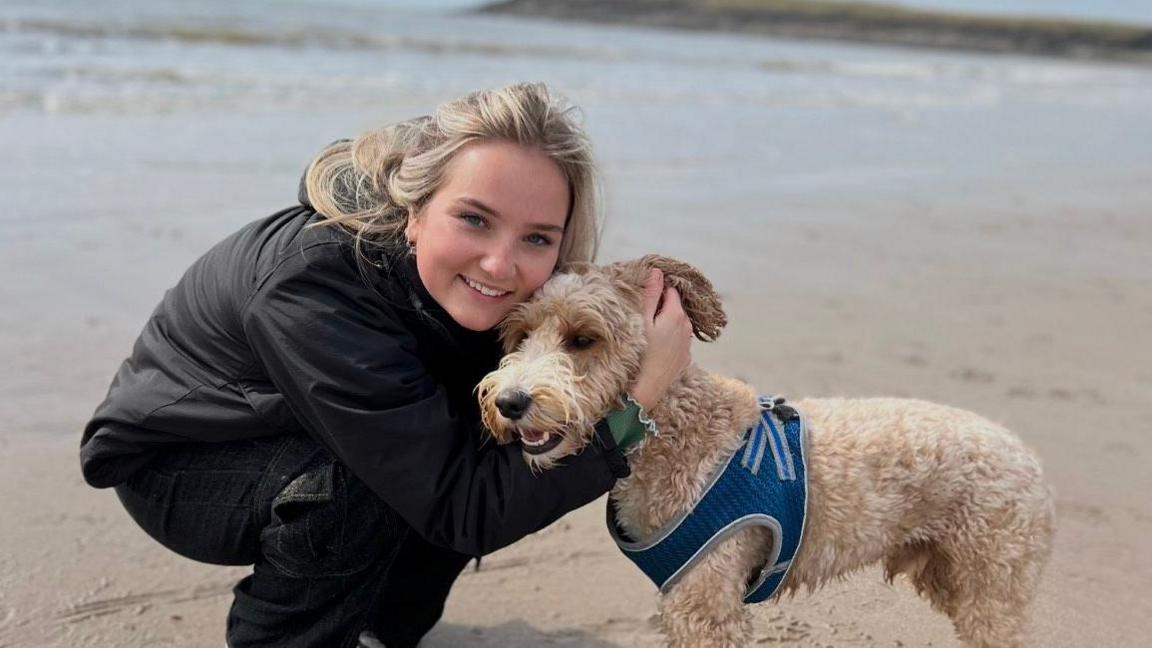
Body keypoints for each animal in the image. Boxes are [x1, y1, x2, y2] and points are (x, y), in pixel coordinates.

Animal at [476, 255, 1055, 645]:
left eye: (582, 339)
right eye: (520, 334)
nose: (509, 402)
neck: (678, 435)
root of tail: (1030, 459)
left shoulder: (706, 601)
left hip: (991, 582)